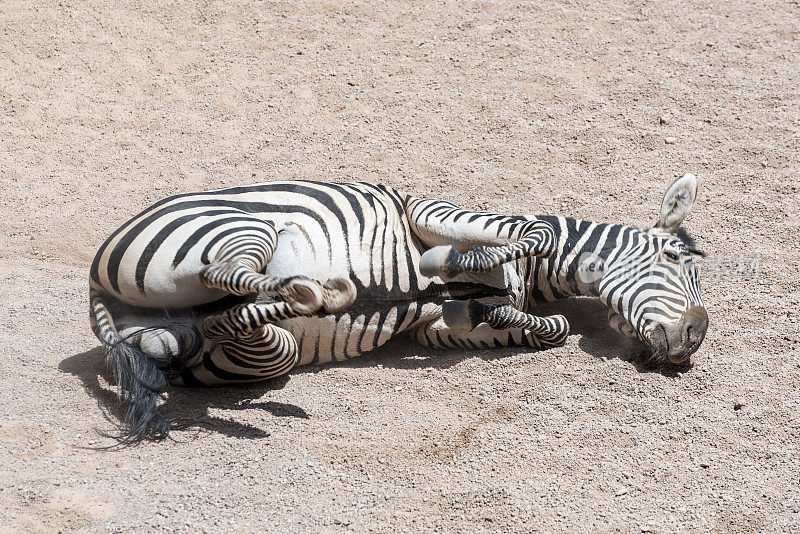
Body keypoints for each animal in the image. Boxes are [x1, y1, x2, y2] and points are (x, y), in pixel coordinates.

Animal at [90, 174, 708, 442]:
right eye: (677, 258)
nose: (694, 338)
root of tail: (97, 285)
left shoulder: (436, 330)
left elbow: (545, 325)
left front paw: (498, 310)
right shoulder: (428, 208)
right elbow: (530, 234)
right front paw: (455, 260)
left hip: (245, 351)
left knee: (229, 318)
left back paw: (311, 296)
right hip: (238, 227)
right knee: (224, 272)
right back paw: (308, 289)